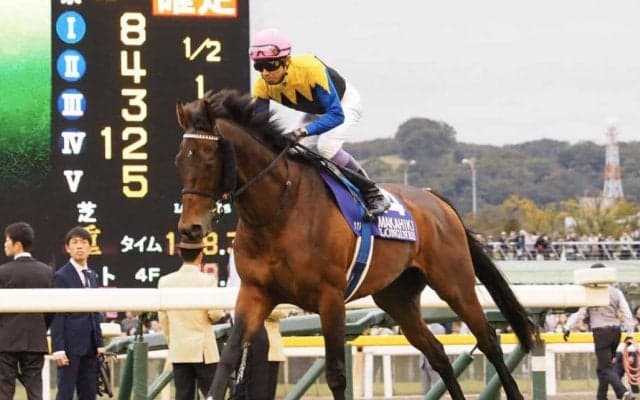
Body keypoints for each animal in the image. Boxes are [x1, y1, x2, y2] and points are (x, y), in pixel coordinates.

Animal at [175, 89, 539, 400]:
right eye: (180, 159)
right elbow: (228, 358)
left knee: (488, 339)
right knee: (437, 353)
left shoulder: (331, 297)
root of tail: (436, 200)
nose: (191, 228)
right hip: (397, 298)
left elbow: (336, 373)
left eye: (208, 157)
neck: (280, 209)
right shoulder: (255, 292)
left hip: (454, 283)